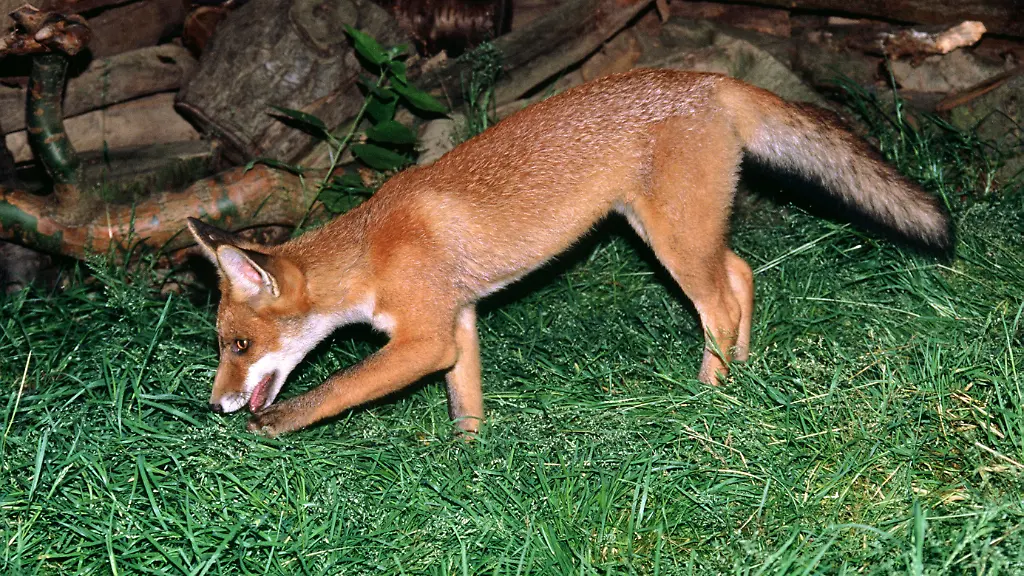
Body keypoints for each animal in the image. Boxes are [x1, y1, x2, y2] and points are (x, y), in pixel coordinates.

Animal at [187, 68, 951, 437]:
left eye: (237, 346)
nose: (214, 405)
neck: (372, 247)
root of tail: (706, 77)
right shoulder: (459, 323)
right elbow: (466, 403)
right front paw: (473, 467)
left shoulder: (425, 337)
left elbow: (339, 388)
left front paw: (277, 425)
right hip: (675, 230)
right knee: (741, 277)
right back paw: (743, 374)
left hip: (671, 239)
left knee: (721, 303)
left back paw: (710, 397)